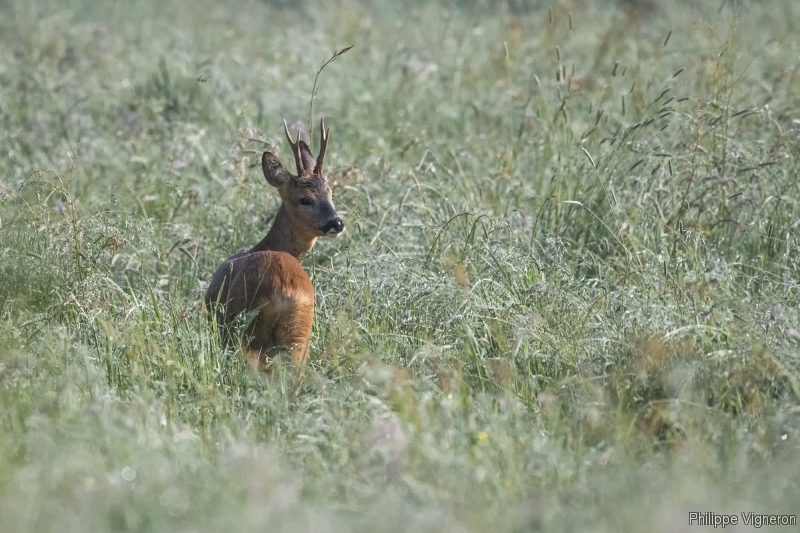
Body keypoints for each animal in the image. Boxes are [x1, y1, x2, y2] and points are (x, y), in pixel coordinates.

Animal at [205, 117, 342, 368]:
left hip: (248, 328)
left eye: (330, 194)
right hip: (299, 333)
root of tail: (284, 290)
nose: (336, 223)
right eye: (305, 199)